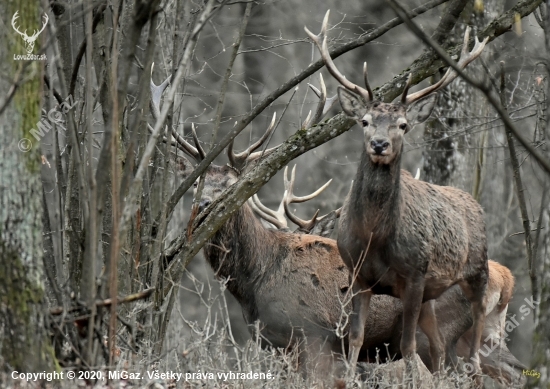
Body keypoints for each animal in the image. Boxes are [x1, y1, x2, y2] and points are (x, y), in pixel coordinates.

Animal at [306, 11, 492, 376]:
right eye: (364, 121)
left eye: (403, 125)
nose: (380, 144)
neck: (375, 237)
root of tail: (473, 202)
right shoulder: (359, 276)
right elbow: (356, 338)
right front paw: (350, 377)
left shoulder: (415, 275)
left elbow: (407, 347)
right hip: (434, 294)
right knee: (439, 347)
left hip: (478, 270)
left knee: (476, 335)